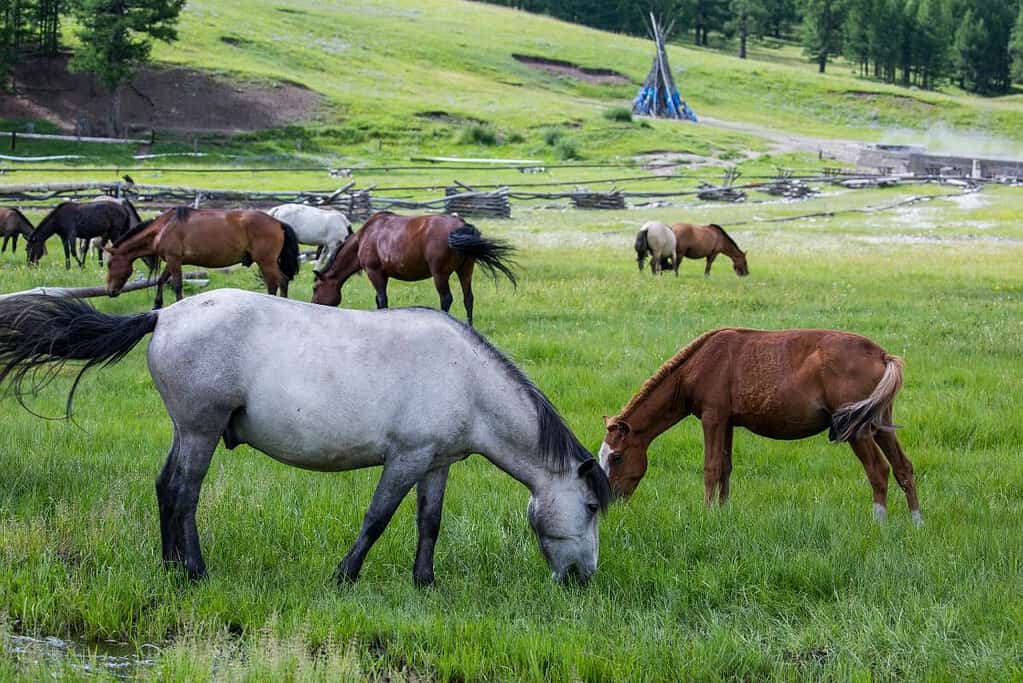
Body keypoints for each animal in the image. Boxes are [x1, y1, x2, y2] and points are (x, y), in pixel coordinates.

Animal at [0, 290, 605, 584]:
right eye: (594, 505)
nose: (583, 578)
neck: (466, 378)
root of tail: (165, 313)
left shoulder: (436, 463)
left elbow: (428, 523)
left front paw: (425, 582)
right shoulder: (406, 459)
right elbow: (377, 518)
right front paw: (344, 577)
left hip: (187, 431)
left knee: (166, 489)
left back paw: (171, 567)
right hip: (199, 431)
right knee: (182, 493)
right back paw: (192, 573)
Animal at [106, 205, 298, 306]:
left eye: (109, 264)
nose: (110, 291)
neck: (164, 227)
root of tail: (278, 222)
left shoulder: (174, 260)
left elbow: (177, 286)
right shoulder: (172, 261)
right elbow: (161, 281)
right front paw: (156, 306)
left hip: (266, 261)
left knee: (280, 282)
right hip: (265, 263)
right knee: (276, 283)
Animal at [308, 210, 519, 327]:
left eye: (315, 288)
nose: (313, 304)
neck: (364, 236)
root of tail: (461, 225)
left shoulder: (374, 272)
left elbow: (382, 299)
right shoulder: (383, 274)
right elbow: (379, 300)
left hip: (440, 274)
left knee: (446, 299)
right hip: (466, 270)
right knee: (468, 298)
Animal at [597, 327, 924, 527]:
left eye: (617, 457)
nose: (609, 502)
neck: (697, 364)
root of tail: (881, 354)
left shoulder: (713, 419)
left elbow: (711, 468)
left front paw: (707, 514)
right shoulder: (727, 423)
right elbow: (725, 468)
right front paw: (723, 511)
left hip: (858, 431)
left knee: (878, 470)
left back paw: (879, 522)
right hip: (881, 425)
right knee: (903, 467)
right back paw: (916, 521)